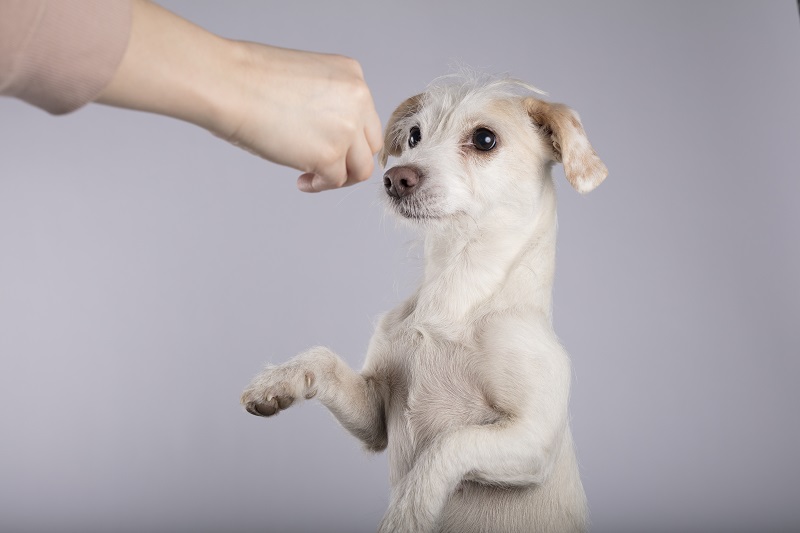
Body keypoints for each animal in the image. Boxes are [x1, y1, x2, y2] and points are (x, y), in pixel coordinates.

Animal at [241, 75, 608, 532]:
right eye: (415, 136)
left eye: (485, 139)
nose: (396, 177)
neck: (455, 289)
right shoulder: (375, 417)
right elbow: (323, 359)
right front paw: (278, 380)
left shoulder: (532, 440)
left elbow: (449, 444)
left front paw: (408, 510)